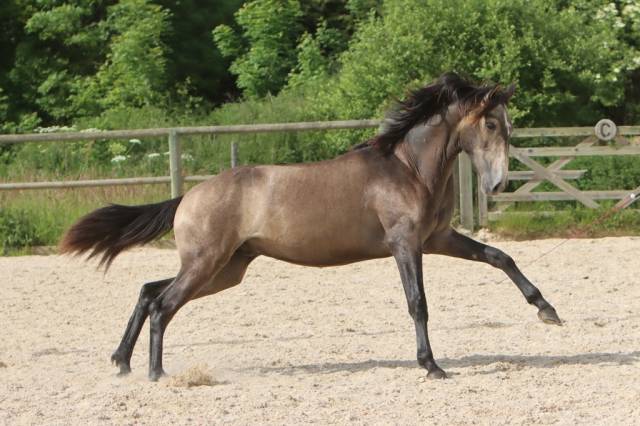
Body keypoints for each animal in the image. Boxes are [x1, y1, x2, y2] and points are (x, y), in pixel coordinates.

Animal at [60, 73, 562, 381]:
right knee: (163, 304)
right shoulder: (405, 244)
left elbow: (500, 257)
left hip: (226, 269)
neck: (407, 169)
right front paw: (431, 366)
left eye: (509, 127)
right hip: (207, 264)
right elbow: (418, 303)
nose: (498, 185)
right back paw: (156, 373)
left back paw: (122, 363)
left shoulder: (436, 238)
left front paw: (547, 310)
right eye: (491, 124)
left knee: (148, 291)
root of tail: (188, 197)